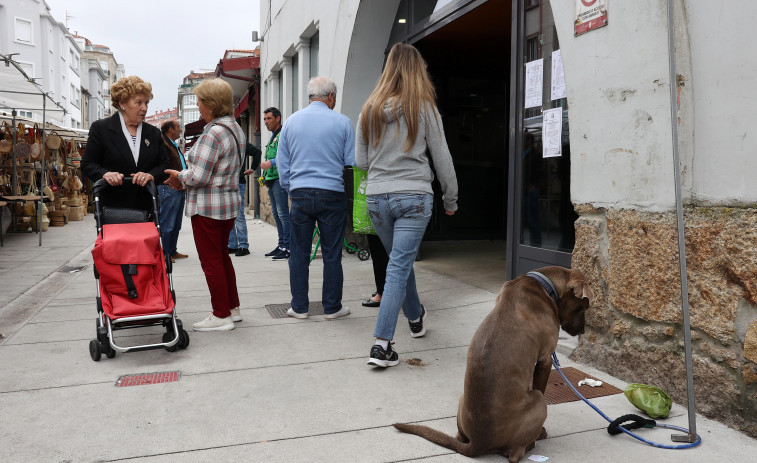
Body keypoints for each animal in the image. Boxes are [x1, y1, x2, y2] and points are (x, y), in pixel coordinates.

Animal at [392, 266, 592, 462]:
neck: (543, 284)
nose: (582, 331)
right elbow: (541, 383)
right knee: (514, 454)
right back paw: (536, 438)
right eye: (583, 307)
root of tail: (477, 443)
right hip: (538, 401)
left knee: (459, 437)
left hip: (462, 400)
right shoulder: (545, 359)